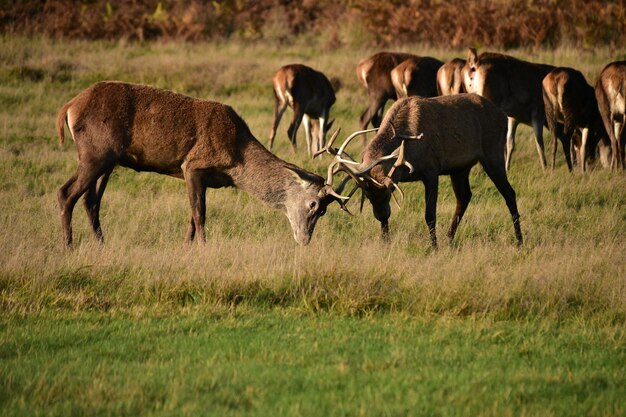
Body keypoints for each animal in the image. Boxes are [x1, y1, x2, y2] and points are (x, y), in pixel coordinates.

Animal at [54, 81, 346, 247]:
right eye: (314, 205)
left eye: (324, 211)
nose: (305, 240)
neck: (236, 161)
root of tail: (68, 108)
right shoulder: (193, 166)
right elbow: (199, 214)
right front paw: (204, 249)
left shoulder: (201, 177)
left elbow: (192, 217)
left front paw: (186, 249)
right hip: (96, 152)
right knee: (66, 193)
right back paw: (68, 246)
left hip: (109, 160)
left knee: (91, 200)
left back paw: (101, 245)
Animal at [316, 94, 520, 247]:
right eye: (367, 195)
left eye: (390, 192)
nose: (382, 215)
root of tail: (503, 115)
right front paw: (385, 241)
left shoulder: (432, 171)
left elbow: (430, 215)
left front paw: (434, 246)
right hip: (460, 168)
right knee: (464, 197)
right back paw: (449, 239)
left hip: (493, 154)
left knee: (509, 193)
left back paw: (519, 241)